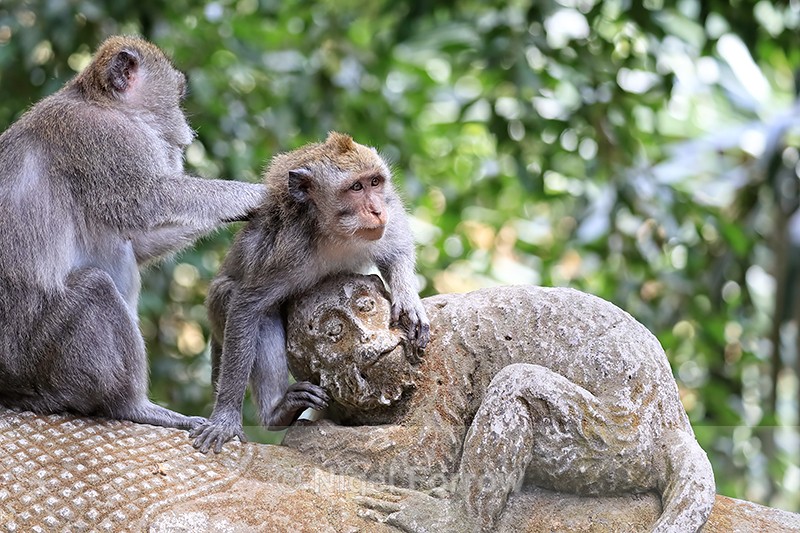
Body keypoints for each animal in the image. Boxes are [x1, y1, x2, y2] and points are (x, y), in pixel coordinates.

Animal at [0, 36, 266, 431]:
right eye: (178, 96)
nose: (185, 129)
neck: (99, 101)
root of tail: (11, 389)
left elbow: (139, 241)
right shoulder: (102, 139)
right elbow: (147, 200)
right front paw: (258, 194)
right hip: (39, 355)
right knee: (96, 288)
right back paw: (133, 405)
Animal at [190, 132, 430, 453]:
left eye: (375, 182)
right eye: (356, 187)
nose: (377, 210)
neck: (334, 234)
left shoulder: (387, 215)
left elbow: (397, 250)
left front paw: (408, 302)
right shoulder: (286, 251)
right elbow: (246, 306)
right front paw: (225, 419)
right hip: (216, 311)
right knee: (249, 306)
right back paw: (277, 412)